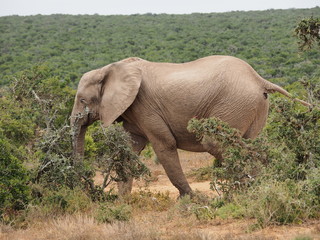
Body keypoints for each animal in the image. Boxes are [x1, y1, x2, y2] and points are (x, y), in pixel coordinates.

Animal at [70, 55, 310, 197]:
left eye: (82, 100)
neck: (110, 68)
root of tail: (259, 79)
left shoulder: (145, 106)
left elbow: (164, 145)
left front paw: (191, 199)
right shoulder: (133, 110)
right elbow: (130, 149)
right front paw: (122, 201)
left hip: (234, 103)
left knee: (216, 143)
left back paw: (244, 190)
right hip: (254, 106)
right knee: (251, 143)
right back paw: (260, 184)